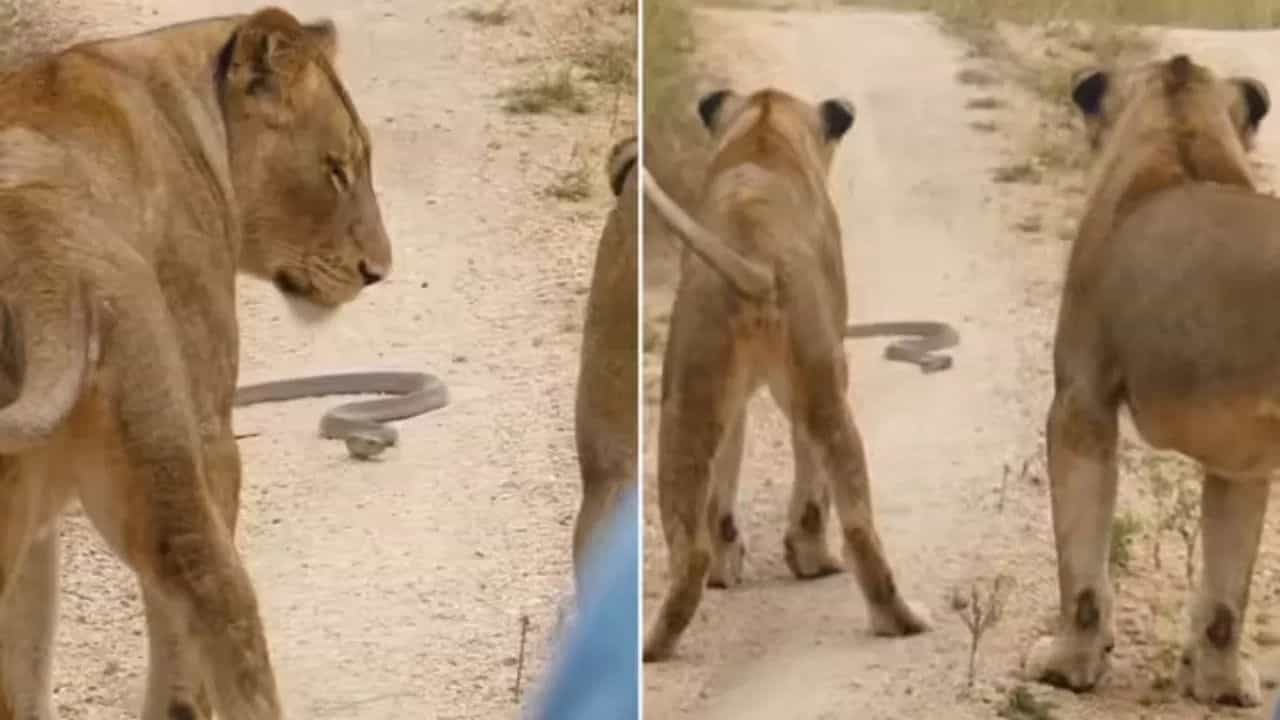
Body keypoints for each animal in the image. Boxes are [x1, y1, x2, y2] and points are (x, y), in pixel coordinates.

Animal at [0, 8, 389, 719]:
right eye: (337, 169)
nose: (377, 271)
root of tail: (40, 264)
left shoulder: (34, 526)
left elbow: (29, 655)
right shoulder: (209, 428)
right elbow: (175, 635)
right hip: (164, 460)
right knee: (222, 602)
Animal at [641, 88, 932, 662]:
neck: (764, 130)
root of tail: (753, 255)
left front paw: (735, 564)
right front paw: (795, 556)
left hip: (685, 402)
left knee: (692, 551)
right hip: (820, 392)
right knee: (857, 523)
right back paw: (890, 613)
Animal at [1027, 54, 1272, 707]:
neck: (1179, 142)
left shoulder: (1079, 400)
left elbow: (1081, 566)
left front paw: (1066, 665)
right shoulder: (1242, 458)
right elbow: (1227, 589)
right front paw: (1219, 685)